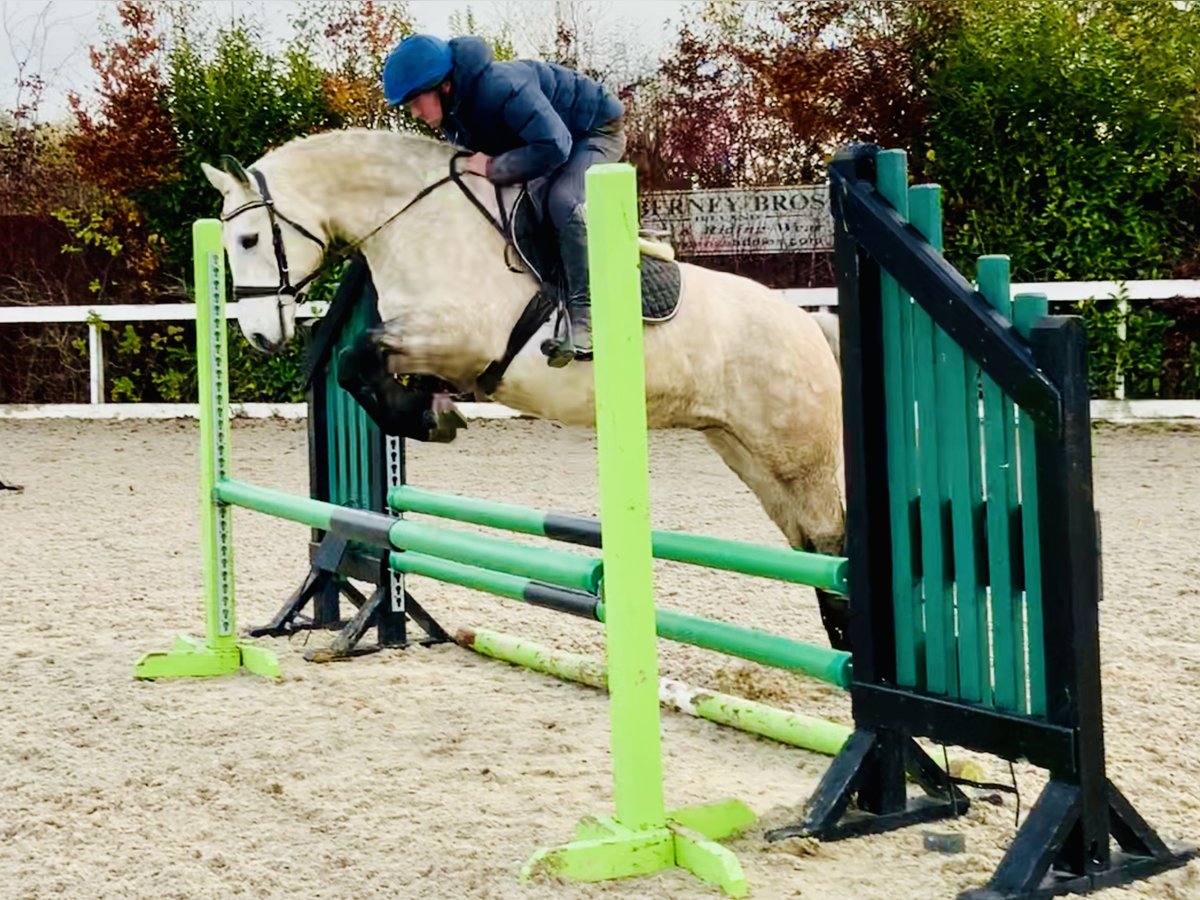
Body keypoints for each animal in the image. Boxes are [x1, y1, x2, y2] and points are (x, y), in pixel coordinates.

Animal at [201, 127, 849, 648]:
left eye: (250, 240)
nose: (259, 336)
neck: (420, 222)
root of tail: (807, 323)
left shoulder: (460, 337)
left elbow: (354, 359)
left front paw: (426, 419)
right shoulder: (426, 343)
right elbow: (360, 366)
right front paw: (428, 411)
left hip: (796, 455)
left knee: (831, 539)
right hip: (747, 454)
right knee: (810, 545)